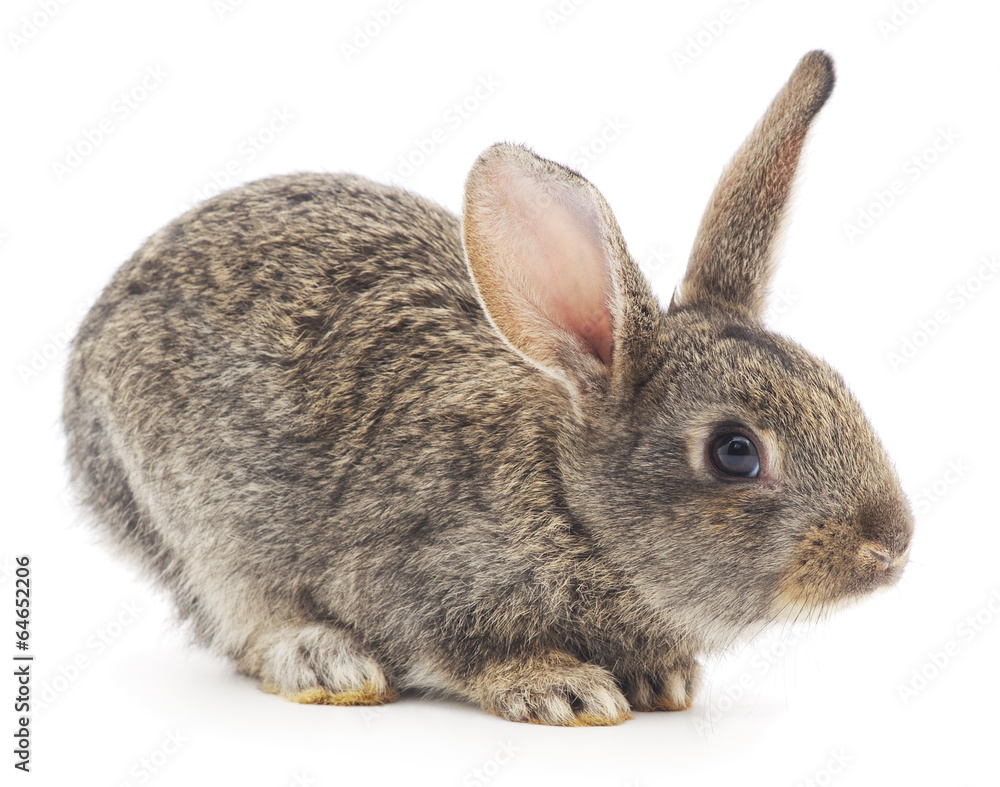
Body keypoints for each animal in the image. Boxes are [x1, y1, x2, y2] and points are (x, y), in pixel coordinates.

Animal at [63, 50, 913, 726]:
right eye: (736, 451)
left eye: (838, 384)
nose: (892, 545)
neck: (569, 501)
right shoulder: (423, 580)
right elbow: (464, 648)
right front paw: (563, 688)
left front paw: (661, 677)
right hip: (197, 527)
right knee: (240, 614)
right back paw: (325, 660)